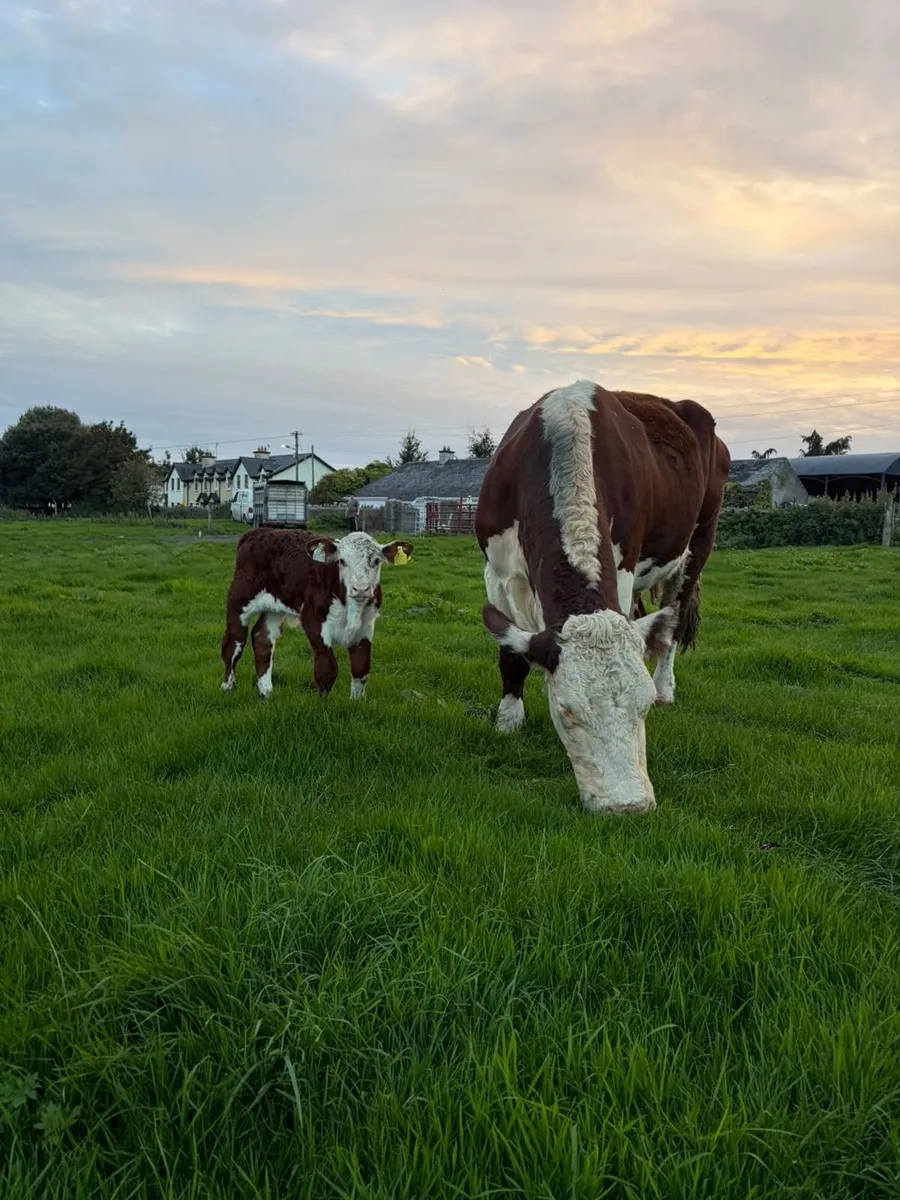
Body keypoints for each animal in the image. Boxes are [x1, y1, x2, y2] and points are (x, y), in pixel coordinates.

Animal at [220, 529, 413, 699]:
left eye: (376, 561)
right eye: (342, 561)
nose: (360, 588)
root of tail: (258, 532)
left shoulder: (365, 626)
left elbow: (361, 669)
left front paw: (356, 703)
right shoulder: (313, 620)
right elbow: (326, 669)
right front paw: (323, 706)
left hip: (274, 608)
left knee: (263, 639)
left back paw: (265, 692)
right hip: (239, 599)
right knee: (234, 642)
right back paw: (228, 687)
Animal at [475, 380, 730, 815]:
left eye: (642, 707)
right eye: (566, 711)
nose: (627, 806)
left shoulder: (623, 563)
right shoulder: (498, 571)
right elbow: (510, 652)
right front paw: (508, 720)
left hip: (700, 541)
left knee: (674, 616)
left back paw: (666, 686)